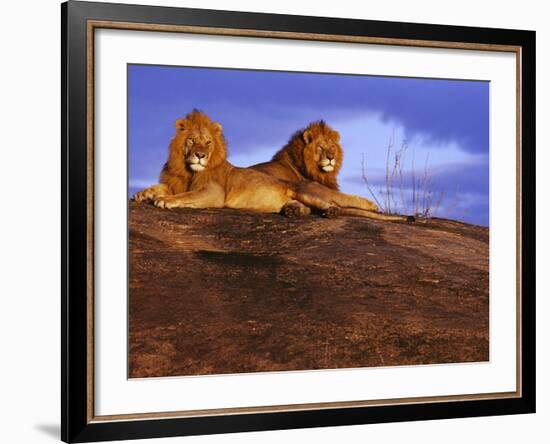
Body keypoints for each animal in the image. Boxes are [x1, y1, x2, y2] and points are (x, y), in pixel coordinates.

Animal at [133, 109, 340, 217]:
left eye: (208, 142)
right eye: (191, 140)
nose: (200, 155)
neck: (188, 170)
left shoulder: (214, 192)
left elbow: (185, 196)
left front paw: (165, 200)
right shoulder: (176, 183)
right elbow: (160, 187)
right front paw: (142, 194)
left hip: (304, 192)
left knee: (327, 203)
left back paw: (331, 211)